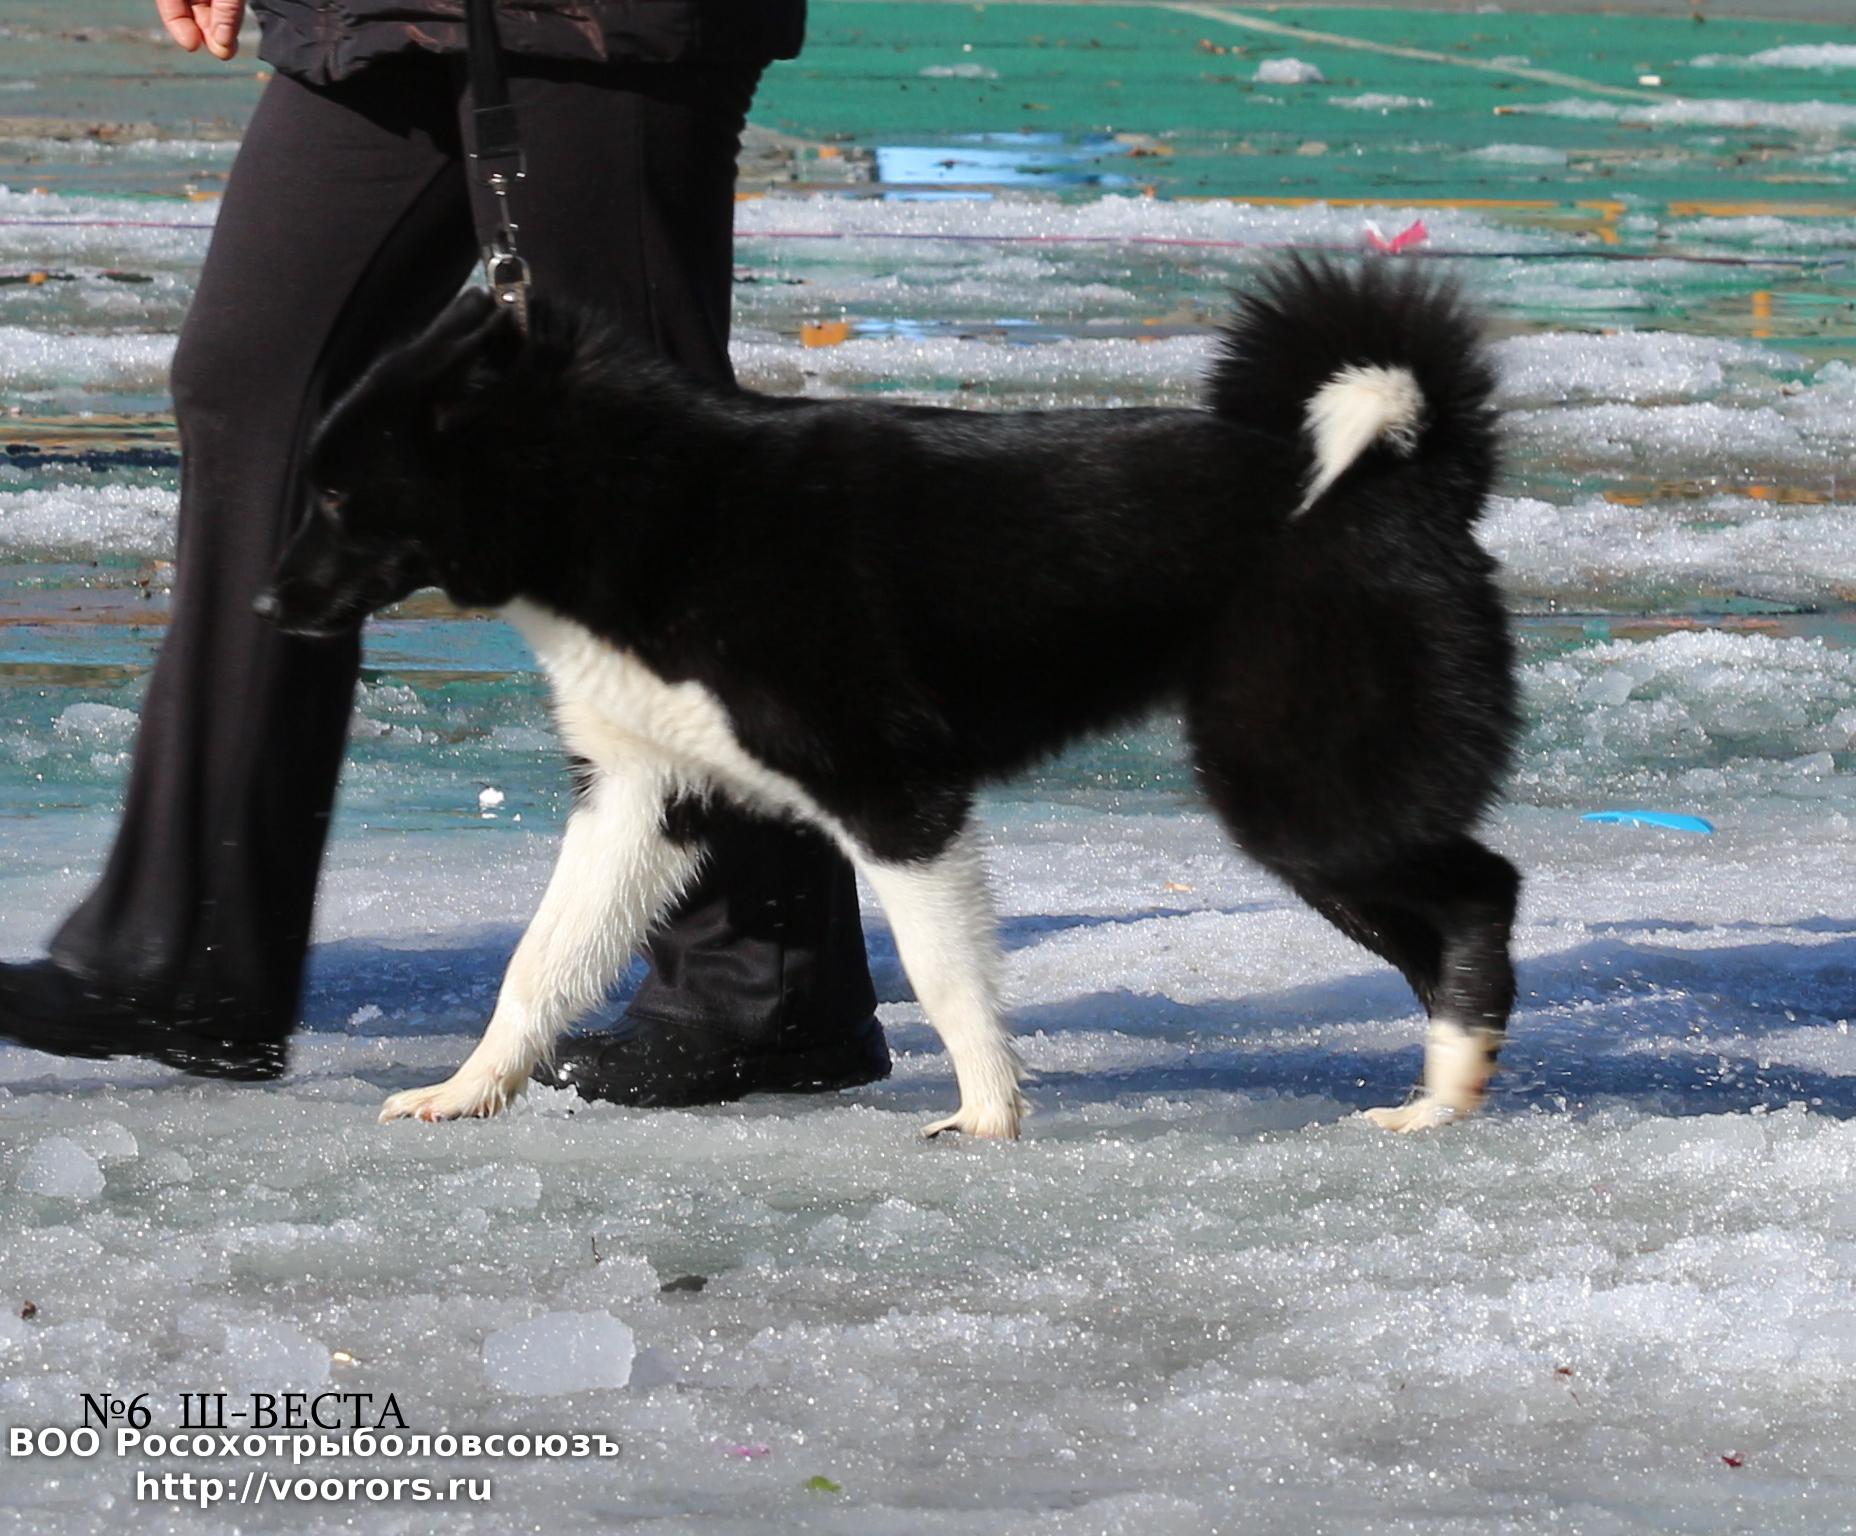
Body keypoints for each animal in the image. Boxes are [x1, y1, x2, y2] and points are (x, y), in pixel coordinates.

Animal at [257, 258, 1521, 1138]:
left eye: (338, 493)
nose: (266, 603)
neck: (640, 507)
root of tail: (1413, 477)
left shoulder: (893, 799)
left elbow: (945, 972)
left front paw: (988, 1116)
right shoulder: (641, 799)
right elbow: (539, 962)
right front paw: (467, 1090)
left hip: (1292, 791)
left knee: (1481, 892)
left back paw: (1443, 1088)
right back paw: (1444, 1090)